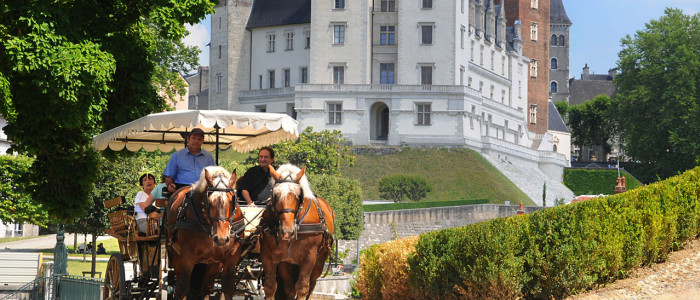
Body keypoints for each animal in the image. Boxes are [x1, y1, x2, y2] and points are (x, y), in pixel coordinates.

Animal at [167, 166, 246, 300]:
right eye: (209, 203)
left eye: (232, 201)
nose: (221, 238)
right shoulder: (186, 258)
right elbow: (182, 287)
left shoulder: (231, 257)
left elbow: (227, 287)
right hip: (175, 257)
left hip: (213, 263)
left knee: (206, 286)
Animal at [258, 165, 334, 298]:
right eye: (276, 194)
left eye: (298, 195)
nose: (287, 231)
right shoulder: (271, 257)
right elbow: (271, 287)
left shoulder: (309, 258)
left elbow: (302, 288)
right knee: (290, 288)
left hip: (320, 261)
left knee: (311, 285)